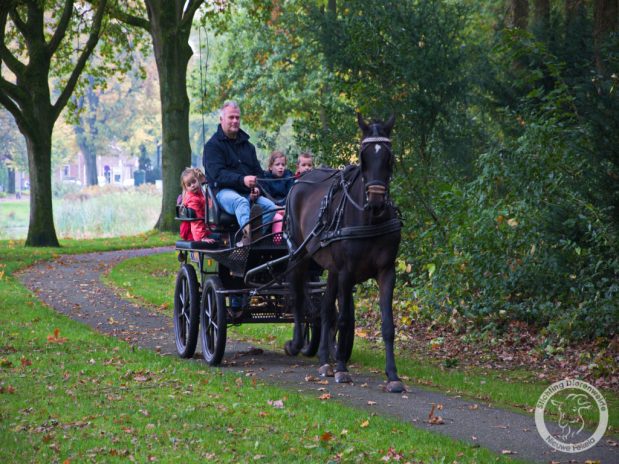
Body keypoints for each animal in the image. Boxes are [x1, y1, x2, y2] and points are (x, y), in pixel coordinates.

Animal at [284, 112, 404, 392]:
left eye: (389, 157)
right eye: (363, 156)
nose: (376, 201)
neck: (369, 219)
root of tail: (299, 181)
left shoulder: (386, 271)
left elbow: (387, 324)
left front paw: (392, 376)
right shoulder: (347, 271)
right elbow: (345, 319)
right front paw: (341, 368)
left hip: (331, 268)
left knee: (326, 309)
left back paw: (324, 360)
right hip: (299, 256)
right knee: (298, 296)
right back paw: (298, 344)